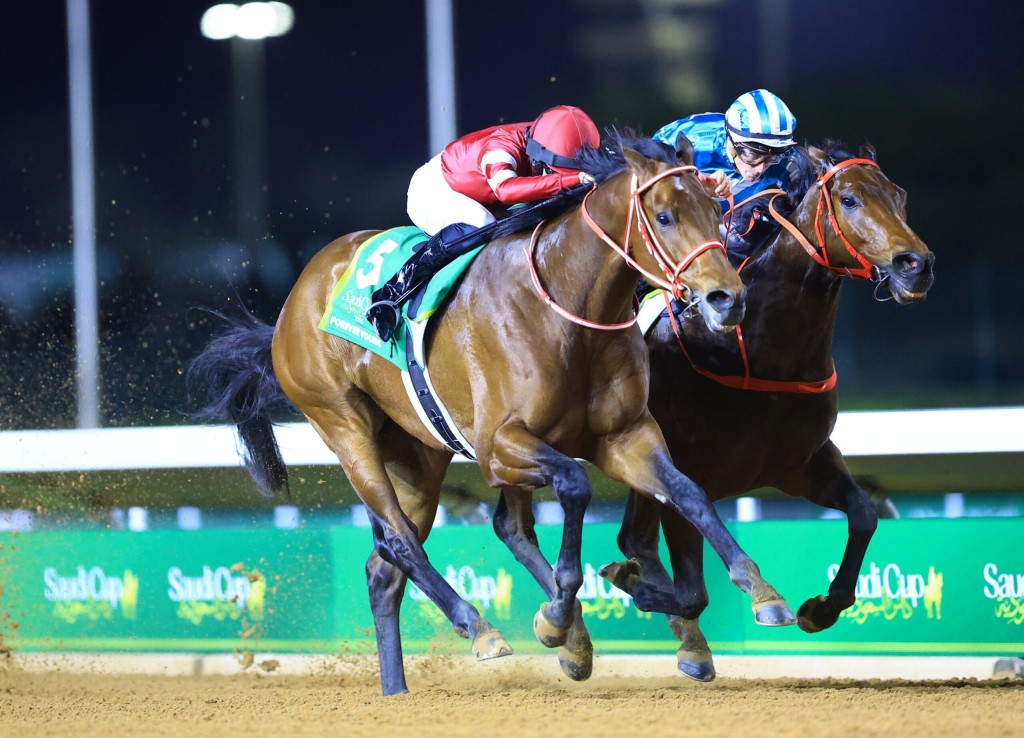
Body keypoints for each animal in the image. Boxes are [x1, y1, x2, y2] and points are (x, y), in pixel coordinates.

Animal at [189, 130, 796, 696]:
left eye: (715, 210)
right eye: (665, 216)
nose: (727, 299)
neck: (570, 306)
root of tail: (294, 299)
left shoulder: (625, 437)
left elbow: (688, 492)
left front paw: (761, 591)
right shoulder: (499, 446)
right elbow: (574, 484)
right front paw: (556, 617)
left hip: (417, 453)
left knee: (390, 566)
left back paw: (401, 687)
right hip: (344, 425)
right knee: (401, 538)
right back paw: (482, 629)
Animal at [493, 140, 935, 681]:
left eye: (900, 194)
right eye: (849, 199)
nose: (916, 264)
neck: (761, 355)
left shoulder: (800, 463)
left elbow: (865, 514)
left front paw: (820, 607)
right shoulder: (683, 464)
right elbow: (688, 584)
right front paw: (643, 592)